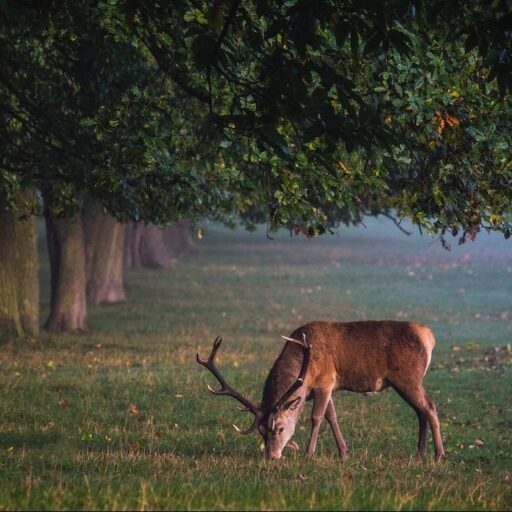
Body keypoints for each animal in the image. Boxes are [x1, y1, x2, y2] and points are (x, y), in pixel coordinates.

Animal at [196, 320, 444, 460]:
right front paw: (344, 453)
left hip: (408, 377)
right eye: (261, 432)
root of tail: (428, 336)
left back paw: (439, 454)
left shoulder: (326, 380)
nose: (272, 456)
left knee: (430, 406)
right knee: (420, 411)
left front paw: (309, 453)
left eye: (280, 428)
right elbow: (331, 416)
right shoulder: (324, 388)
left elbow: (316, 417)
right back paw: (420, 453)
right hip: (403, 382)